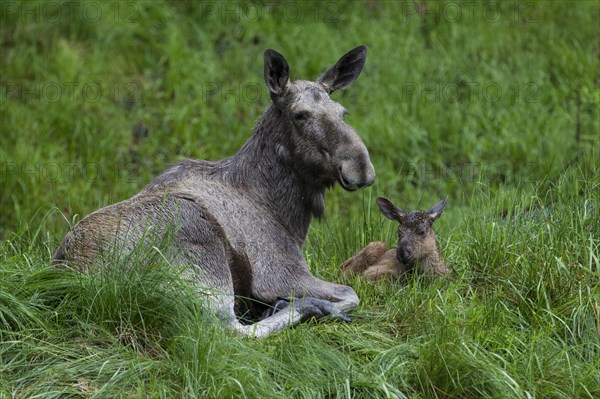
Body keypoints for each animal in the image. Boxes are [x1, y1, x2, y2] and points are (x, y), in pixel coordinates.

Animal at [55, 44, 376, 338]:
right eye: (300, 115)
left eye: (343, 112)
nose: (361, 168)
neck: (284, 211)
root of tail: (75, 271)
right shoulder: (277, 272)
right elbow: (351, 293)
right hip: (201, 250)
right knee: (230, 330)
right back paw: (304, 306)